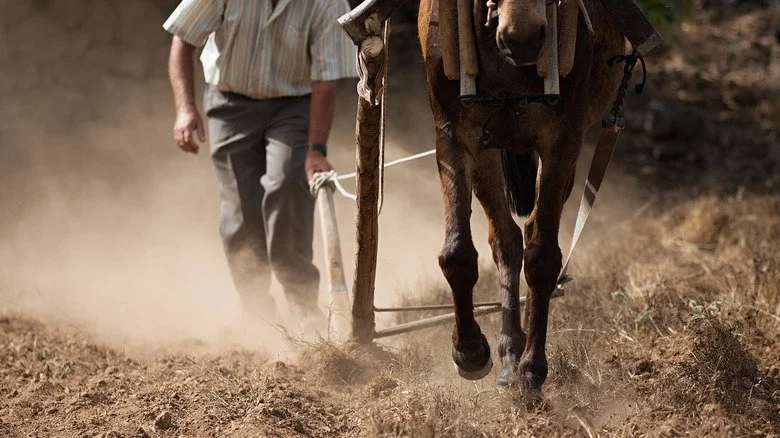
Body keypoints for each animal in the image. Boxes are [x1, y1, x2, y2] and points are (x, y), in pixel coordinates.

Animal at [418, 0, 625, 394]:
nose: (523, 36)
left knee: (527, 233)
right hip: (489, 149)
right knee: (506, 239)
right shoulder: (453, 130)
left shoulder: (563, 138)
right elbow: (457, 253)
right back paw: (509, 347)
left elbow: (542, 257)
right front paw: (469, 350)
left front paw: (532, 369)